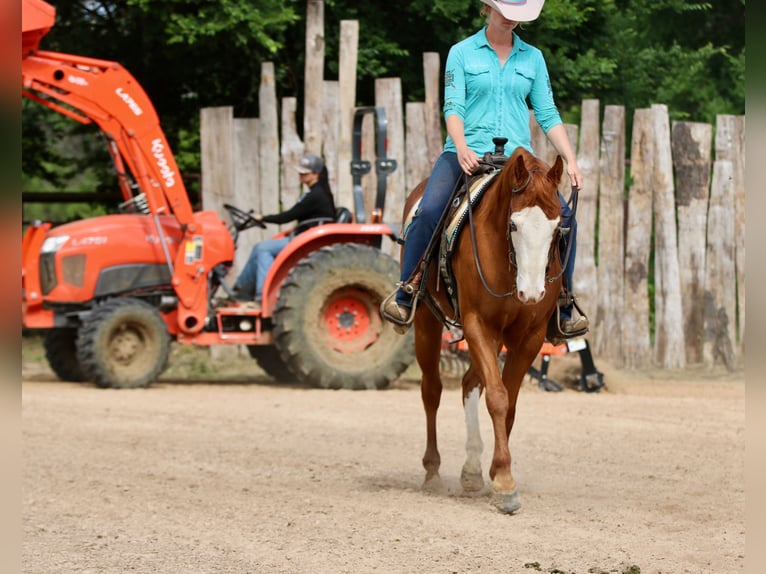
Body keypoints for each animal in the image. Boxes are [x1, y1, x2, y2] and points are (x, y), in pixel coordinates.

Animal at [403, 146, 565, 514]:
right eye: (514, 224)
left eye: (557, 227)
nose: (532, 292)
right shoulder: (477, 323)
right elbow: (497, 398)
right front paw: (504, 481)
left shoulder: (529, 337)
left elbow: (510, 403)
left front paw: (494, 472)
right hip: (427, 322)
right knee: (431, 390)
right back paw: (432, 471)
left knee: (467, 383)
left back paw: (472, 471)